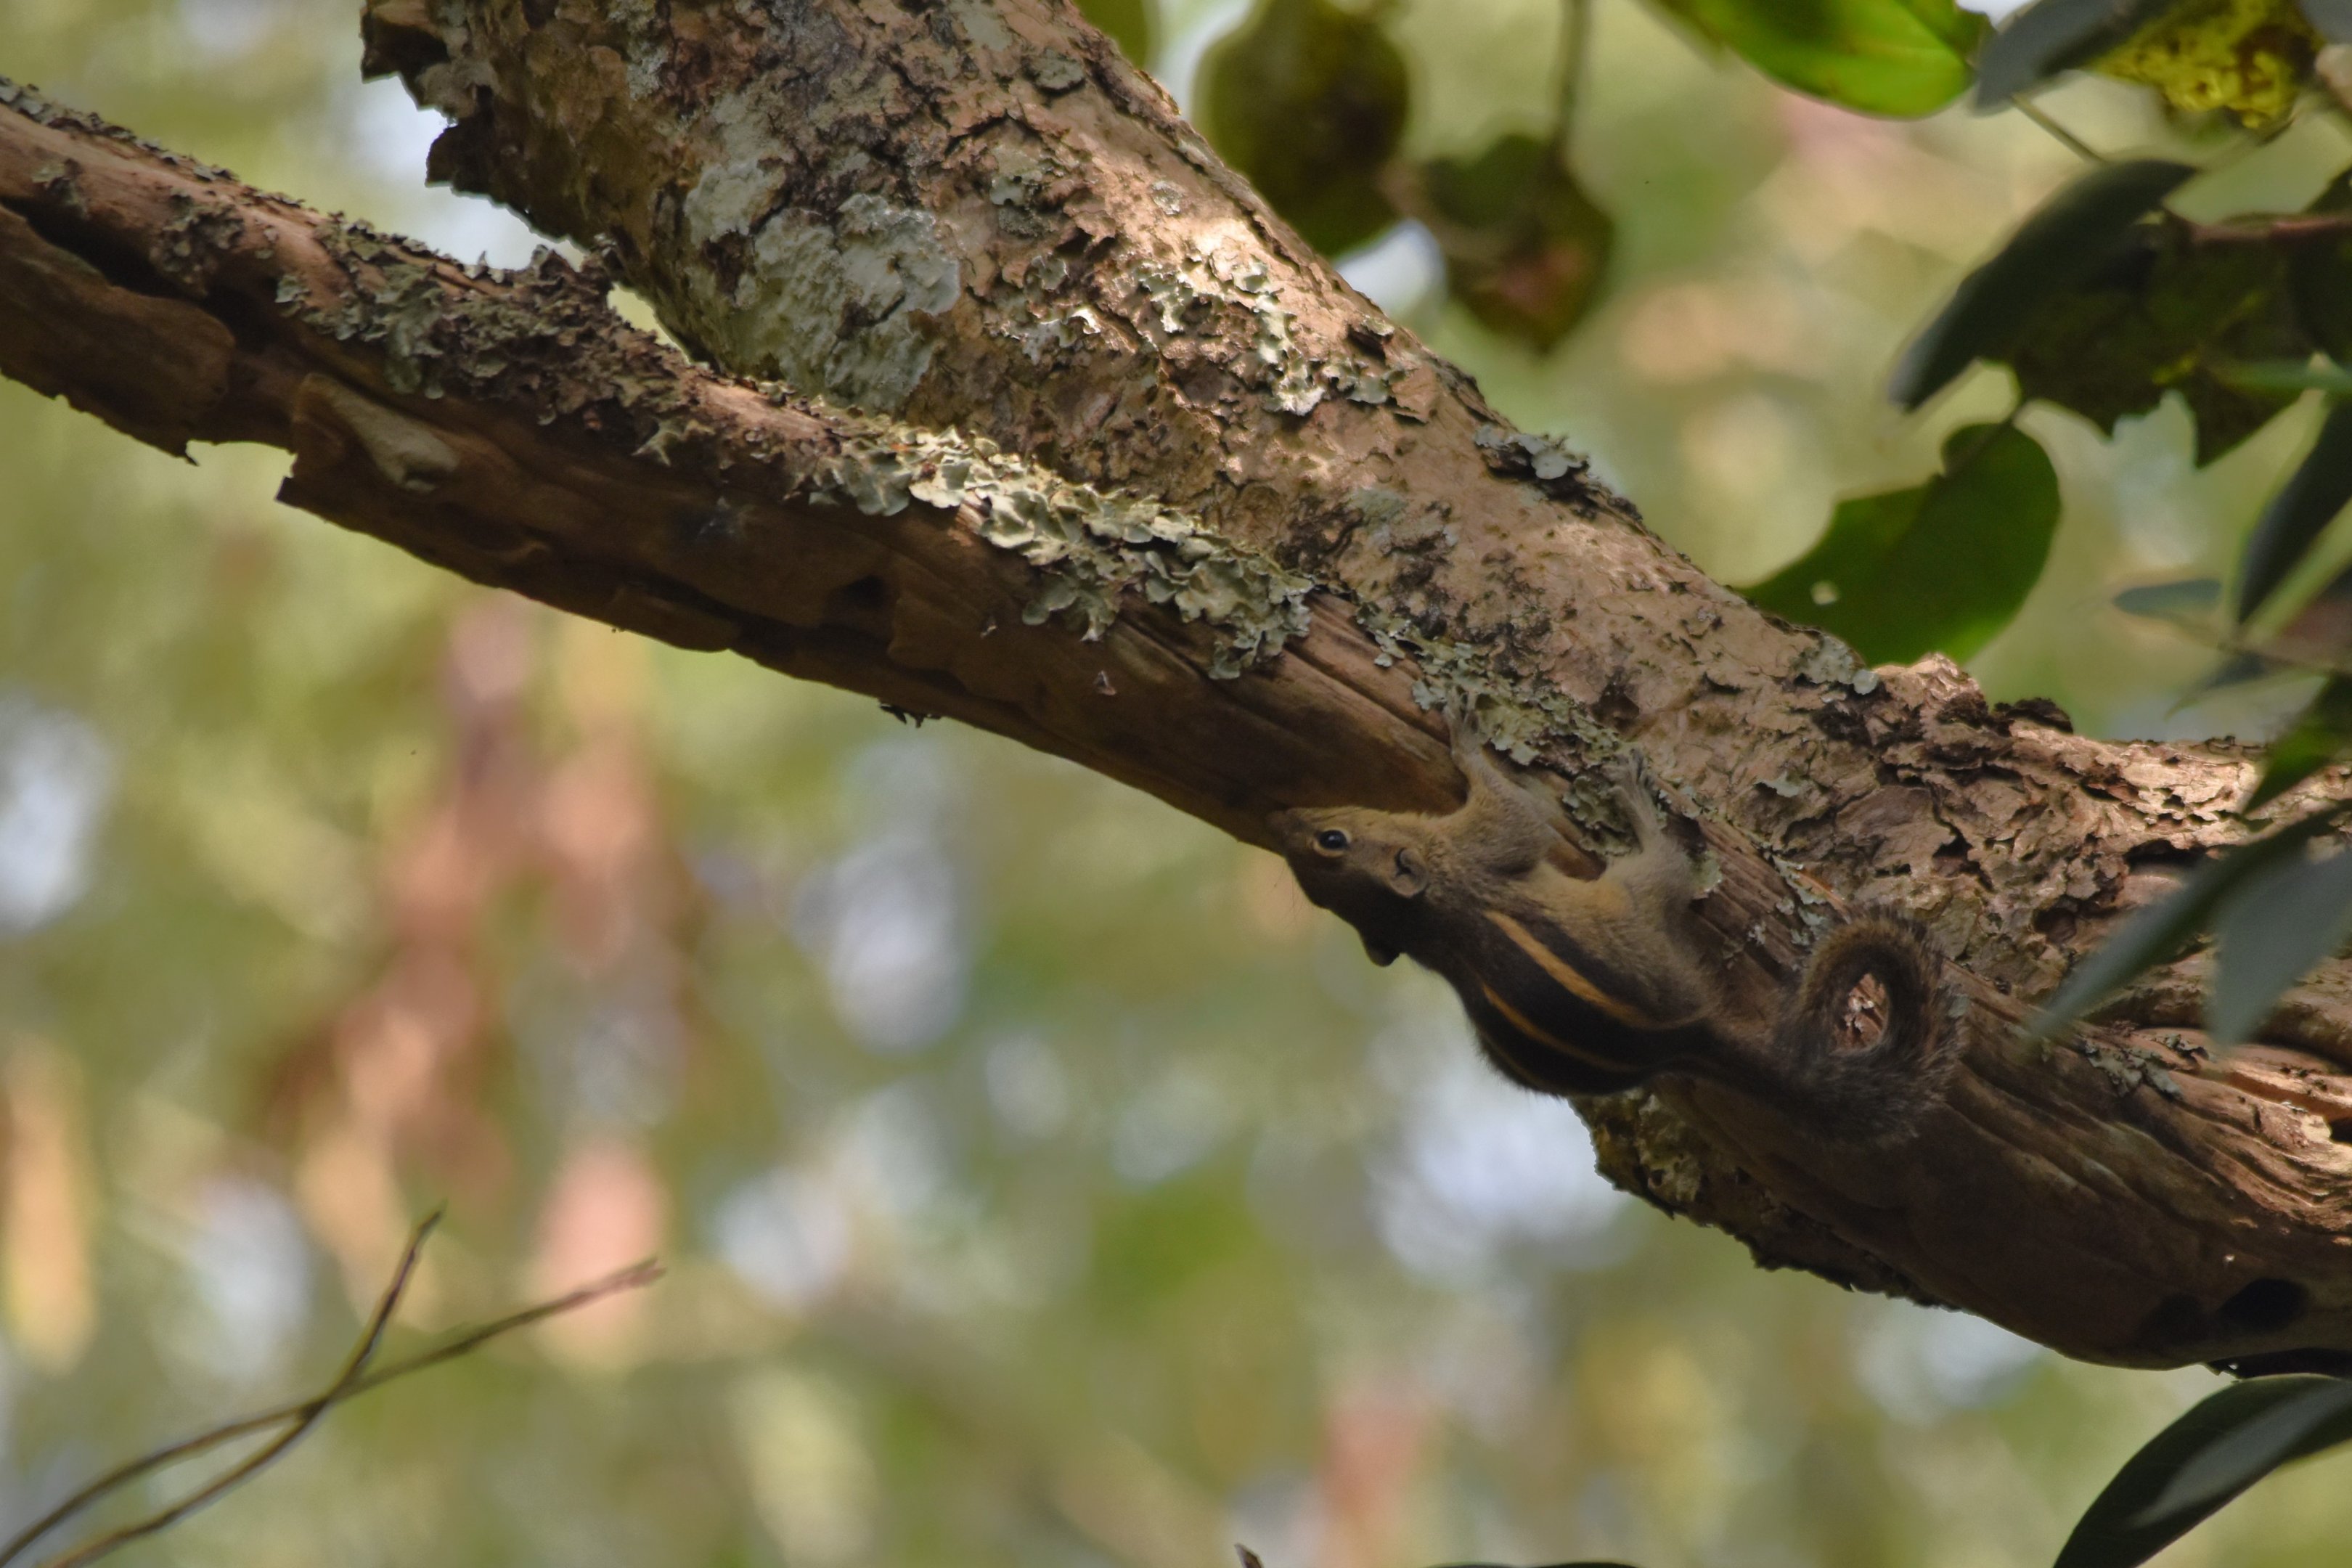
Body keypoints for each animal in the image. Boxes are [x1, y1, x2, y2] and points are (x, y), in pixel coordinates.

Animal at [1270, 726, 1956, 1142]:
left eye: (1329, 841)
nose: (1283, 816)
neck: (1427, 915)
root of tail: (1688, 1035)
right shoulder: (1481, 846)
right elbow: (1519, 817)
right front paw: (1466, 738)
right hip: (1635, 908)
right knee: (1666, 865)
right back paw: (1639, 804)